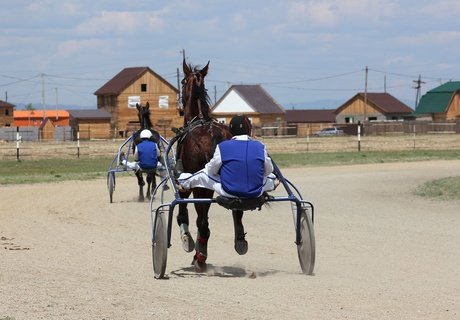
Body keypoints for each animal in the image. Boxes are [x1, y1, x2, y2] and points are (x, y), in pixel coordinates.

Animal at [175, 58, 235, 272]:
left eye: (182, 81)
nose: (180, 107)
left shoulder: (186, 184)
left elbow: (182, 214)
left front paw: (187, 241)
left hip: (200, 187)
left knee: (202, 222)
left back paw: (199, 258)